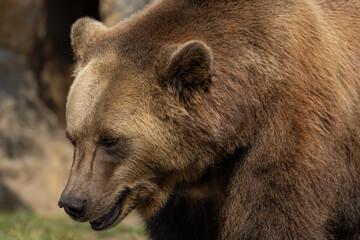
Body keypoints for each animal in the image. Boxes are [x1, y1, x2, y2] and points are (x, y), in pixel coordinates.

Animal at [58, 0, 360, 239]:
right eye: (73, 138)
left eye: (110, 139)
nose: (73, 202)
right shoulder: (187, 195)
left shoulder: (288, 124)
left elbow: (276, 215)